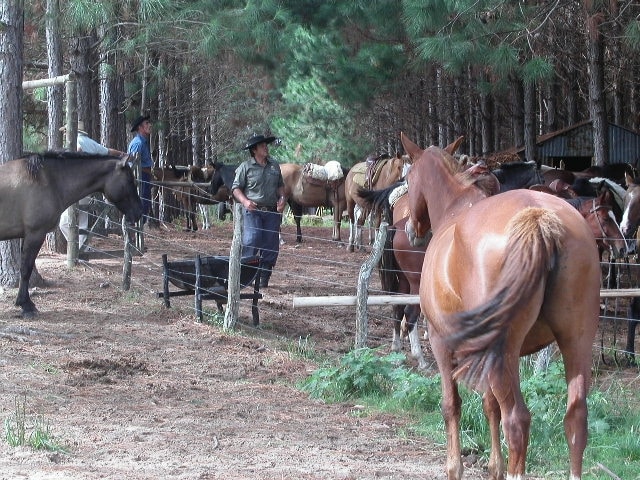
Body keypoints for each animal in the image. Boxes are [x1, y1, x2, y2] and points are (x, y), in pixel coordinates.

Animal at [0, 152, 142, 316]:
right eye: (130, 181)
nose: (139, 212)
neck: (48, 180)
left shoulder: (27, 236)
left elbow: (24, 269)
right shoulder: (35, 234)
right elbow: (25, 269)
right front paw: (26, 305)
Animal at [402, 132, 604, 480]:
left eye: (408, 177)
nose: (410, 230)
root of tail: (538, 216)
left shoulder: (442, 344)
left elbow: (452, 405)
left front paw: (455, 467)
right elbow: (489, 405)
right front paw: (494, 466)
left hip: (505, 352)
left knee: (517, 421)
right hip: (575, 341)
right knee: (575, 419)